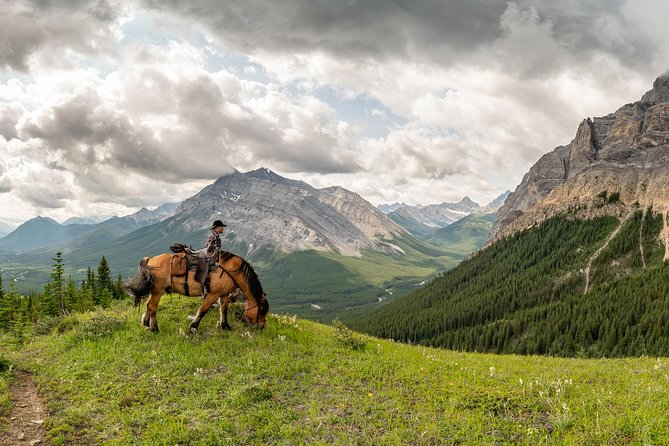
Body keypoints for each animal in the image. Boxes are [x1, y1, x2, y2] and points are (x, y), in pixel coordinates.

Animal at [124, 251, 270, 332]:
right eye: (262, 310)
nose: (262, 326)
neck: (231, 270)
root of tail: (151, 259)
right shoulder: (212, 294)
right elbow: (203, 310)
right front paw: (193, 327)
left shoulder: (223, 294)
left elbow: (224, 310)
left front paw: (225, 326)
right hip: (158, 291)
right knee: (152, 307)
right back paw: (154, 328)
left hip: (154, 291)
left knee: (148, 305)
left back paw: (146, 323)